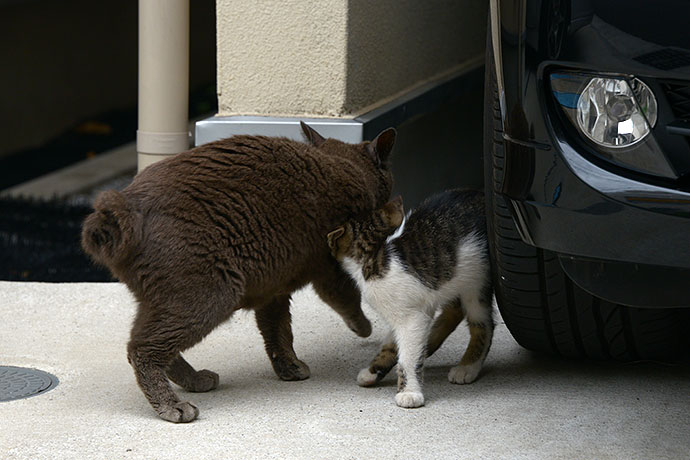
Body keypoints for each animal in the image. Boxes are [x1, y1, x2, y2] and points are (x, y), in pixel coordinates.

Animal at [81, 123, 396, 424]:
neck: (346, 164)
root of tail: (121, 209)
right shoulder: (330, 268)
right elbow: (347, 299)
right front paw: (364, 328)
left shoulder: (273, 288)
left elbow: (277, 331)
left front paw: (289, 368)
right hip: (210, 295)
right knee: (142, 349)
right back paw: (173, 406)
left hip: (163, 299)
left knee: (144, 342)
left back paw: (196, 381)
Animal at [326, 189, 492, 408]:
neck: (375, 255)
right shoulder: (410, 308)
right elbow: (391, 345)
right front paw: (373, 371)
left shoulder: (411, 318)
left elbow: (408, 357)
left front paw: (409, 392)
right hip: (454, 279)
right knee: (454, 310)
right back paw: (429, 343)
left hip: (476, 282)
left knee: (483, 324)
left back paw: (468, 367)